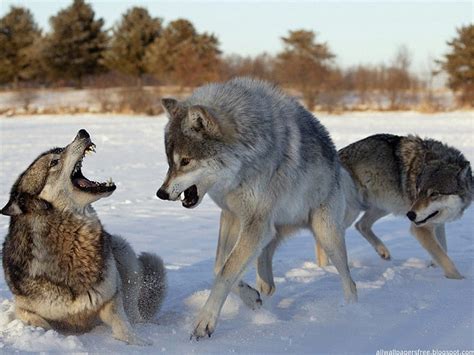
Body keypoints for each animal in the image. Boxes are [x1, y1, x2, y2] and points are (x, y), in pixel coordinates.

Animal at [0, 129, 167, 346]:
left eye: (60, 149)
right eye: (54, 161)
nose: (82, 132)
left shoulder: (112, 298)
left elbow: (123, 325)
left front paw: (139, 344)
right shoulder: (23, 309)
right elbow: (40, 323)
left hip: (123, 251)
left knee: (134, 312)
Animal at [157, 77, 358, 340]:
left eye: (185, 161)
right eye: (170, 163)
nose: (161, 193)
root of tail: (337, 163)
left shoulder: (254, 223)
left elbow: (225, 272)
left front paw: (204, 323)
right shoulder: (232, 215)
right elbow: (219, 267)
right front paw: (251, 298)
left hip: (325, 235)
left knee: (350, 282)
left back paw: (352, 312)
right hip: (272, 231)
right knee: (267, 266)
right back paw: (264, 289)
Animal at [314, 135, 470, 280]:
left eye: (434, 194)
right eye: (418, 191)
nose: (410, 215)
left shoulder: (437, 224)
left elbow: (443, 249)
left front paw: (434, 266)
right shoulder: (420, 228)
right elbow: (444, 257)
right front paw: (458, 280)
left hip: (382, 206)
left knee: (360, 225)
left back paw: (382, 251)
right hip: (353, 211)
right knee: (324, 234)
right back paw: (325, 269)